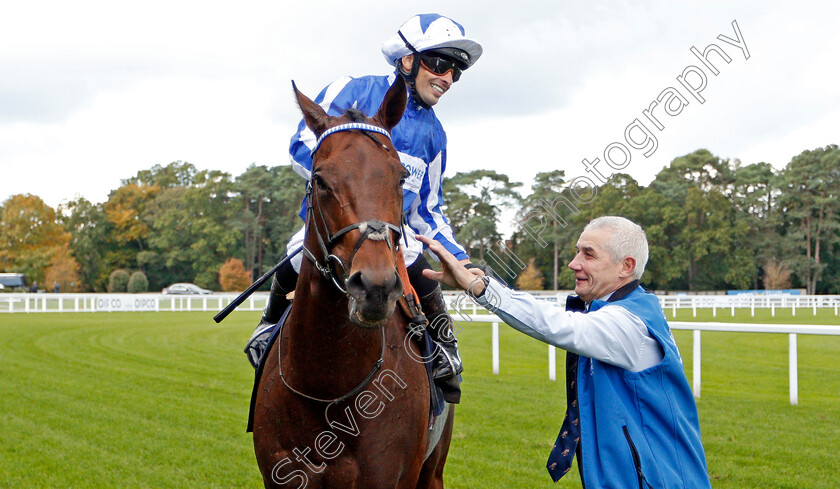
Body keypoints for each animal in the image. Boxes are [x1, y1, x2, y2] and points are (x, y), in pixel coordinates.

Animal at [251, 74, 452, 486]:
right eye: (320, 180)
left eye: (401, 177)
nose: (375, 287)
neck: (328, 386)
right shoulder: (279, 474)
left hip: (433, 468)